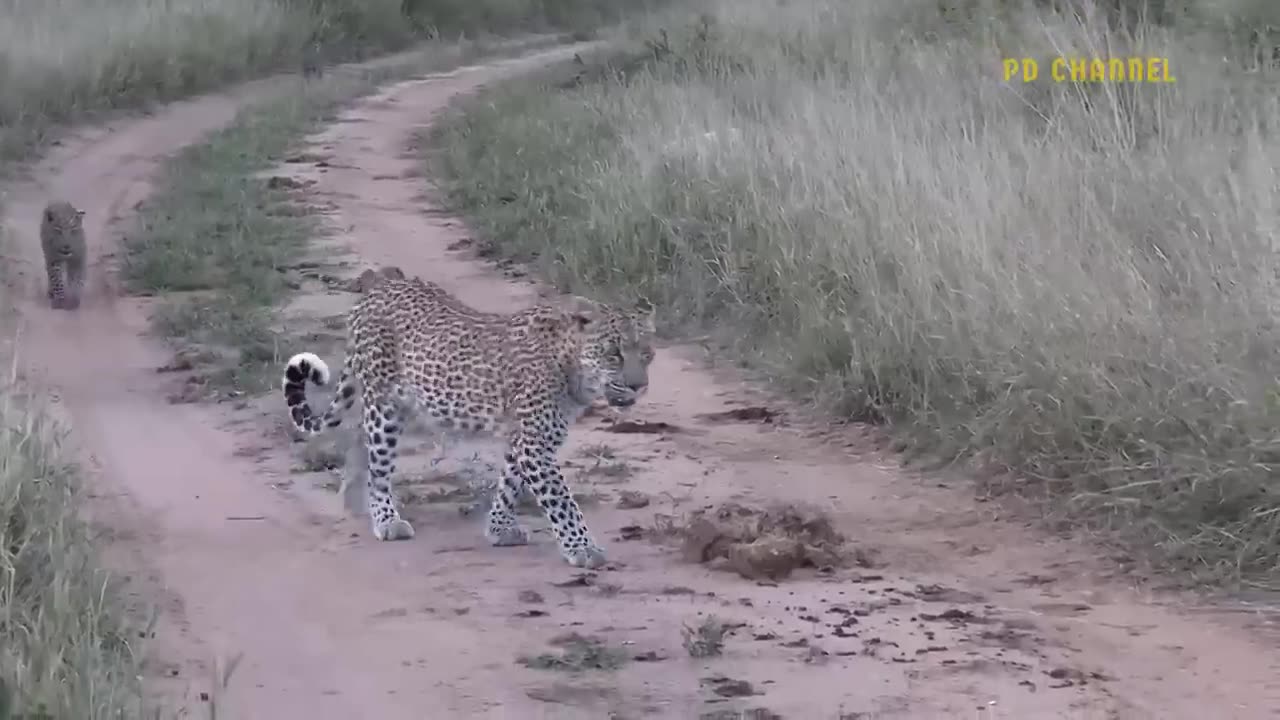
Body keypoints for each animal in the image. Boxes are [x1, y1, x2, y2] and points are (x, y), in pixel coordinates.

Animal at [285, 274, 655, 566]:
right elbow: (562, 501)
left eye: (648, 353)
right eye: (614, 354)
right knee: (379, 465)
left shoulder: (524, 437)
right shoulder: (535, 443)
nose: (638, 385)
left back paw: (353, 501)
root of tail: (371, 295)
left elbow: (510, 483)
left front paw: (499, 528)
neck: (571, 367)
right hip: (384, 407)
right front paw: (583, 548)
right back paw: (385, 519)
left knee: (360, 441)